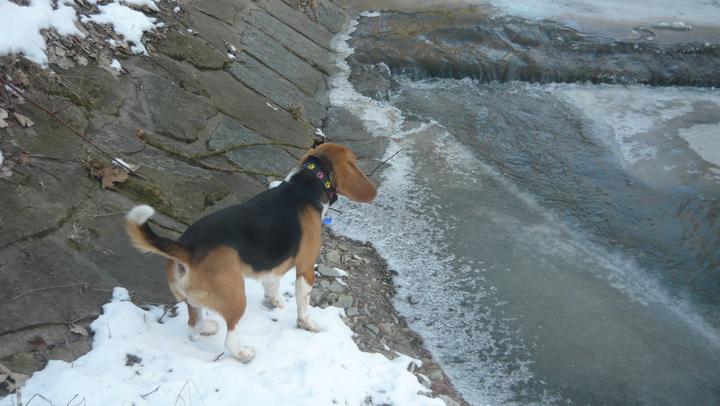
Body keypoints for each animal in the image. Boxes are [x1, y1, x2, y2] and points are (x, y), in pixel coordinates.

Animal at [125, 143, 377, 363]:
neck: (305, 185)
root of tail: (188, 248)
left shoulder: (273, 269)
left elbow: (272, 285)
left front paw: (274, 302)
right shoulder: (306, 268)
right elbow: (303, 305)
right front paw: (308, 324)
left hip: (194, 299)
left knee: (193, 324)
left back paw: (208, 327)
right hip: (236, 297)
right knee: (229, 336)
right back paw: (243, 354)